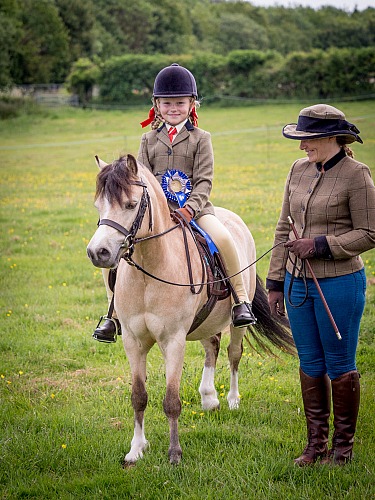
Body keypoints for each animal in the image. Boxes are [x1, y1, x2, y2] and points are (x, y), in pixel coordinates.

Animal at [86, 153, 296, 464]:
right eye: (99, 205)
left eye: (131, 205)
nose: (97, 253)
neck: (150, 269)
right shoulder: (133, 342)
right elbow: (139, 396)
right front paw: (136, 450)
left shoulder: (173, 340)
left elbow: (172, 400)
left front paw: (174, 454)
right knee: (212, 347)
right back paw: (209, 396)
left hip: (236, 320)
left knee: (233, 353)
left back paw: (232, 400)